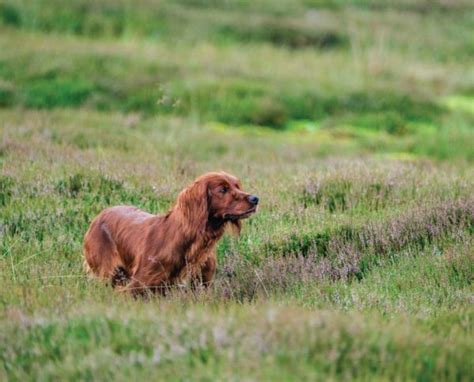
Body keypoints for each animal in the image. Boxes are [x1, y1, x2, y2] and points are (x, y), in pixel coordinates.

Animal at [83, 172, 258, 294]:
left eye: (237, 186)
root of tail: (98, 217)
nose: (255, 199)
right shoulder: (139, 284)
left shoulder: (201, 284)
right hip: (108, 273)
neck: (194, 243)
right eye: (222, 189)